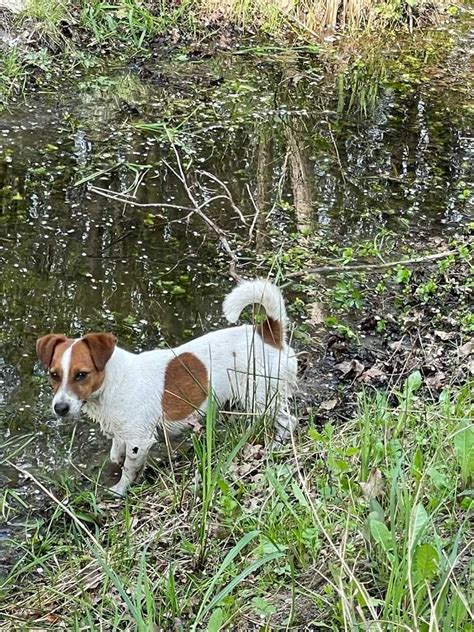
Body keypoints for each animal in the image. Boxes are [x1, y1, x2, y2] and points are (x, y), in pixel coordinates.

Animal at [36, 278, 296, 496]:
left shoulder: (138, 440)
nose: (60, 408)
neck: (112, 382)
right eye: (54, 375)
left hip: (262, 394)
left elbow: (128, 469)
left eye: (81, 375)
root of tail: (268, 333)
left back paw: (275, 446)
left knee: (287, 421)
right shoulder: (120, 434)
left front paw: (119, 490)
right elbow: (115, 456)